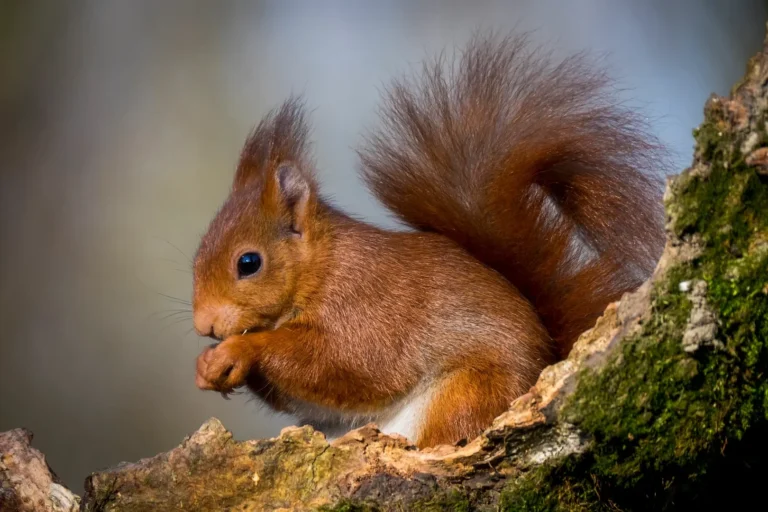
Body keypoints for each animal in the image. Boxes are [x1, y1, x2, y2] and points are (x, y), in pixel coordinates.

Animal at [191, 33, 666, 448]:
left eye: (249, 263)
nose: (204, 326)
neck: (321, 267)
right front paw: (206, 364)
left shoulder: (367, 303)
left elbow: (347, 362)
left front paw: (239, 349)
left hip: (468, 394)